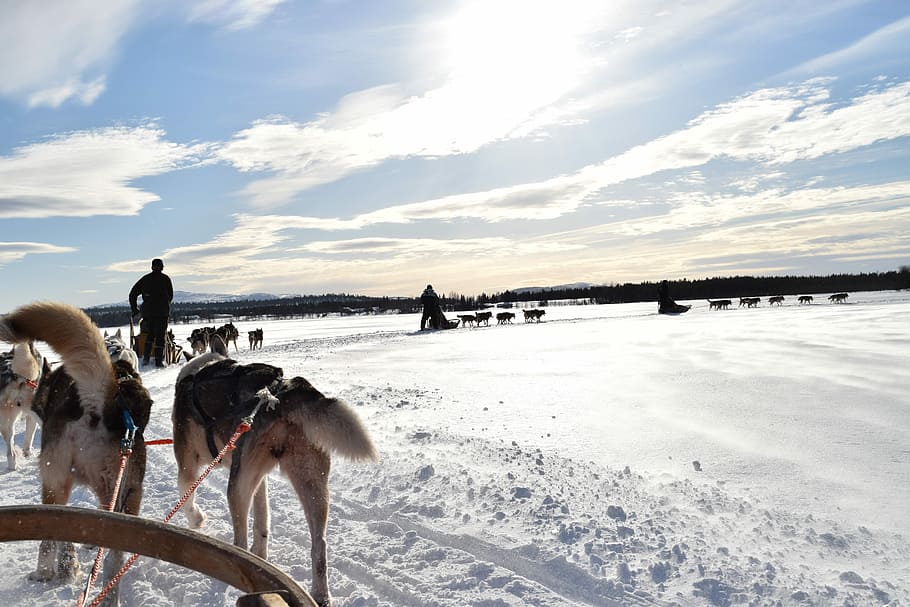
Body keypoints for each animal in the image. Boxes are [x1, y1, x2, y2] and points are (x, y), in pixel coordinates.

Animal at [0, 342, 46, 470]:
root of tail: (16, 375)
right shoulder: (31, 417)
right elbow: (29, 438)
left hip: (6, 422)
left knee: (10, 448)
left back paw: (13, 465)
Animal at [173, 344, 376, 604]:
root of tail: (282, 393)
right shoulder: (258, 478)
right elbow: (262, 520)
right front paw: (261, 556)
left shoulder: (187, 466)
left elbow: (186, 496)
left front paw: (196, 519)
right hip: (311, 484)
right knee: (319, 545)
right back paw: (319, 594)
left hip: (236, 488)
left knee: (240, 541)